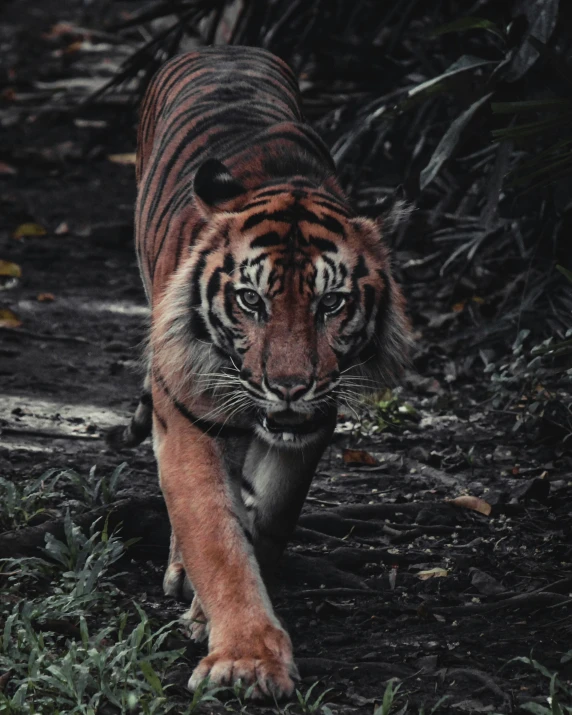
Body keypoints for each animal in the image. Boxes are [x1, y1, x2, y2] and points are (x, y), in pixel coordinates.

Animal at [107, 44, 408, 700]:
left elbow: (267, 517)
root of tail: (222, 46)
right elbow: (215, 535)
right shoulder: (187, 416)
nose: (288, 387)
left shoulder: (313, 423)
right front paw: (245, 659)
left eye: (331, 303)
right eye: (251, 300)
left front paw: (217, 622)